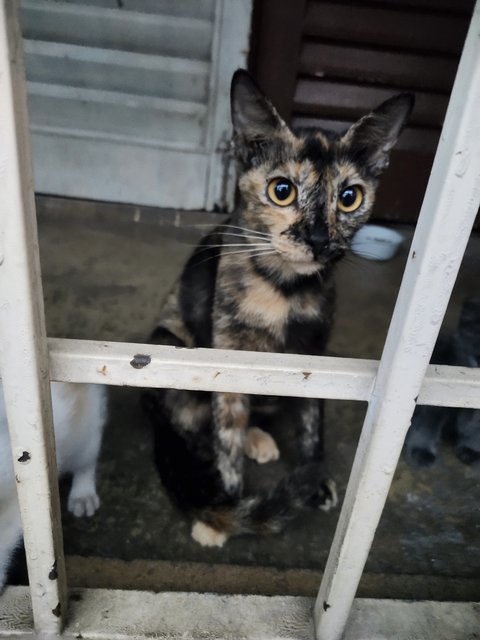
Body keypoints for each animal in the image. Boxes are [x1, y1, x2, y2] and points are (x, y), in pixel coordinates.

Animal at [142, 70, 412, 548]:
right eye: (281, 191)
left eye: (349, 197)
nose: (320, 239)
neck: (283, 290)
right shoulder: (226, 354)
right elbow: (225, 435)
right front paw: (226, 509)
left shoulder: (315, 351)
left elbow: (311, 421)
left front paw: (314, 478)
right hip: (167, 344)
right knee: (195, 424)